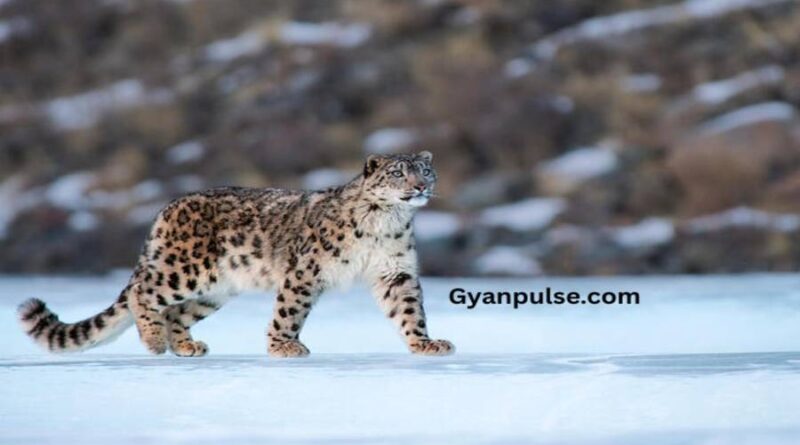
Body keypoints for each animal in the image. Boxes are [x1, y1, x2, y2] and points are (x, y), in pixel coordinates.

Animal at [17, 151, 455, 358]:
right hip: (184, 271)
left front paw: (425, 343)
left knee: (177, 313)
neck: (387, 223)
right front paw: (283, 346)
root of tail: (167, 209)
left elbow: (408, 310)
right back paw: (154, 341)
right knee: (144, 291)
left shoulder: (395, 271)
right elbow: (289, 310)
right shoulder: (306, 270)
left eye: (424, 171)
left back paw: (186, 346)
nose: (420, 187)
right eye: (398, 173)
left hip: (214, 290)